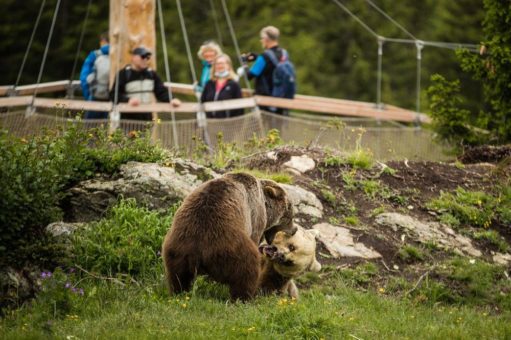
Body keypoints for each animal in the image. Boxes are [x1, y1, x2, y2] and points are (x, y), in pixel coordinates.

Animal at [162, 173, 294, 300]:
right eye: (290, 212)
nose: (294, 229)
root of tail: (198, 251)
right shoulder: (255, 215)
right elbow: (255, 237)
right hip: (229, 245)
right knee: (246, 270)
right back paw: (245, 298)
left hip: (178, 247)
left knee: (178, 276)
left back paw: (179, 292)